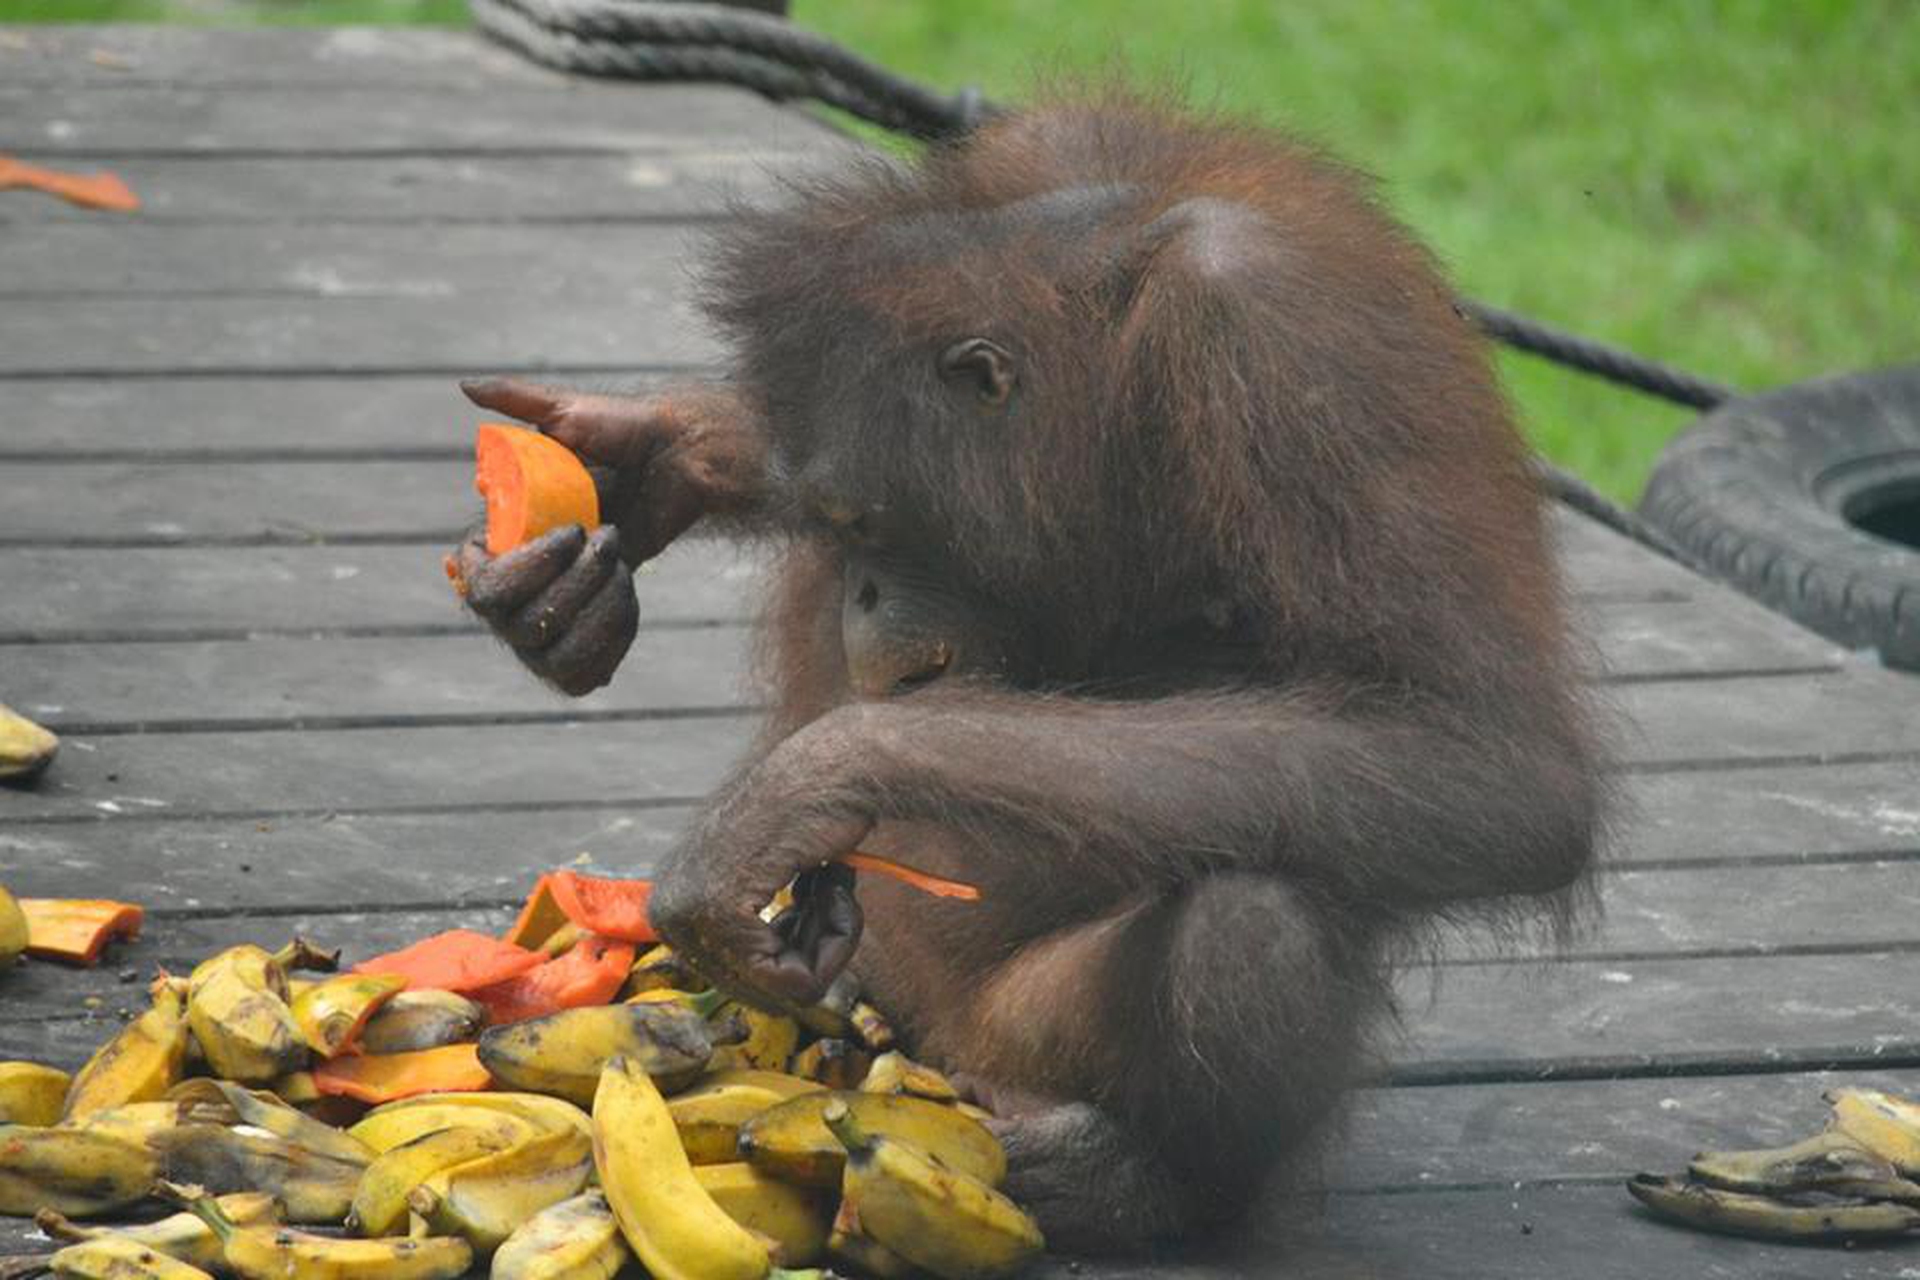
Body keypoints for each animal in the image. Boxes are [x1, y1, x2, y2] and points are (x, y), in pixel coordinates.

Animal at [448, 90, 1605, 1253]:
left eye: (861, 519)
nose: (864, 590)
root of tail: (933, 1044)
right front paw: (634, 480)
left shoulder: (1280, 336)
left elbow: (1490, 764)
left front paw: (803, 787)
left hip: (1007, 1041)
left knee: (1251, 927)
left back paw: (1138, 1180)